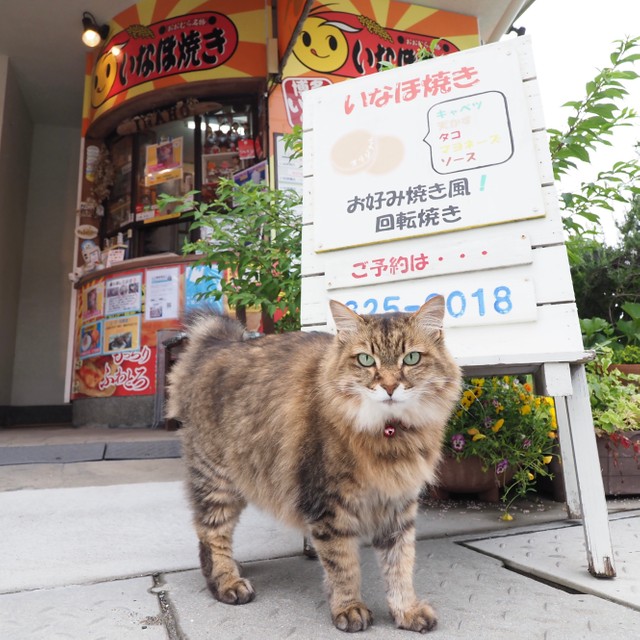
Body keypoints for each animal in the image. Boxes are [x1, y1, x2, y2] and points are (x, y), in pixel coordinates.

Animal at [166, 296, 460, 636]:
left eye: (411, 358)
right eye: (365, 360)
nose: (389, 386)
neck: (390, 437)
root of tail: (217, 343)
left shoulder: (398, 506)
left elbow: (399, 566)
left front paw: (406, 611)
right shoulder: (329, 505)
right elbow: (343, 565)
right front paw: (349, 608)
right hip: (217, 481)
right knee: (212, 533)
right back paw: (227, 582)